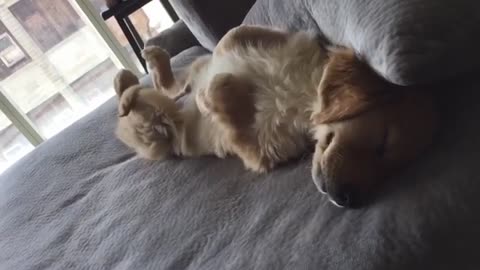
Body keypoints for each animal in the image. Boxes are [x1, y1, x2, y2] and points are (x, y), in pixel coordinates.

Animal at [114, 25, 436, 207]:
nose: (348, 200)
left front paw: (210, 98)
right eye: (382, 144)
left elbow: (221, 96)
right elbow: (232, 38)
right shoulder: (267, 40)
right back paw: (139, 69)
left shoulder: (257, 152)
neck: (301, 94)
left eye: (387, 161)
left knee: (155, 102)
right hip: (177, 89)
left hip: (154, 134)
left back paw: (132, 87)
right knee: (170, 86)